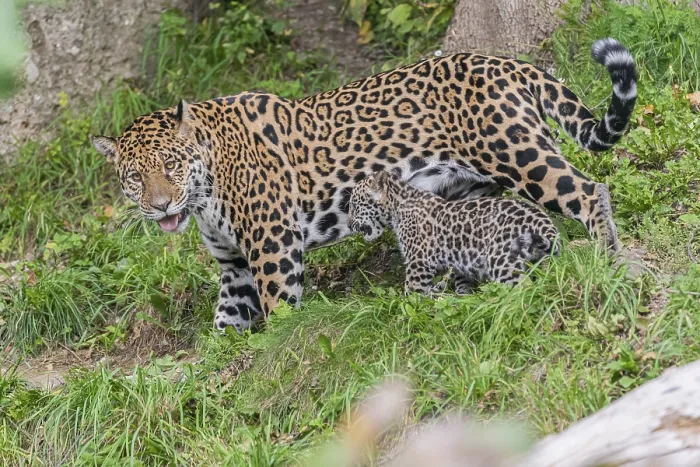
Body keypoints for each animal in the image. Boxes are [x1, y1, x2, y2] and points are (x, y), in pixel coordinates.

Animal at [348, 171, 560, 294]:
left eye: (354, 205)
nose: (350, 225)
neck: (398, 205)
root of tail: (540, 218)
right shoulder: (459, 262)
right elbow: (461, 283)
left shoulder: (419, 262)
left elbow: (413, 292)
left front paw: (409, 314)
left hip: (502, 260)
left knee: (523, 289)